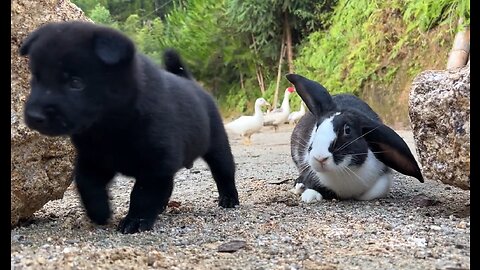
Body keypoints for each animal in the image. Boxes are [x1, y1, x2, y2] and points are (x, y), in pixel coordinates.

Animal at [19, 21, 239, 233]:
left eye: (76, 82)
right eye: (36, 78)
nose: (34, 115)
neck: (109, 126)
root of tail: (194, 84)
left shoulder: (155, 165)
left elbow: (143, 195)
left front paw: (135, 221)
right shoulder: (95, 159)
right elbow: (86, 184)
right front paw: (100, 212)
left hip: (218, 147)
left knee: (224, 173)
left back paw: (229, 199)